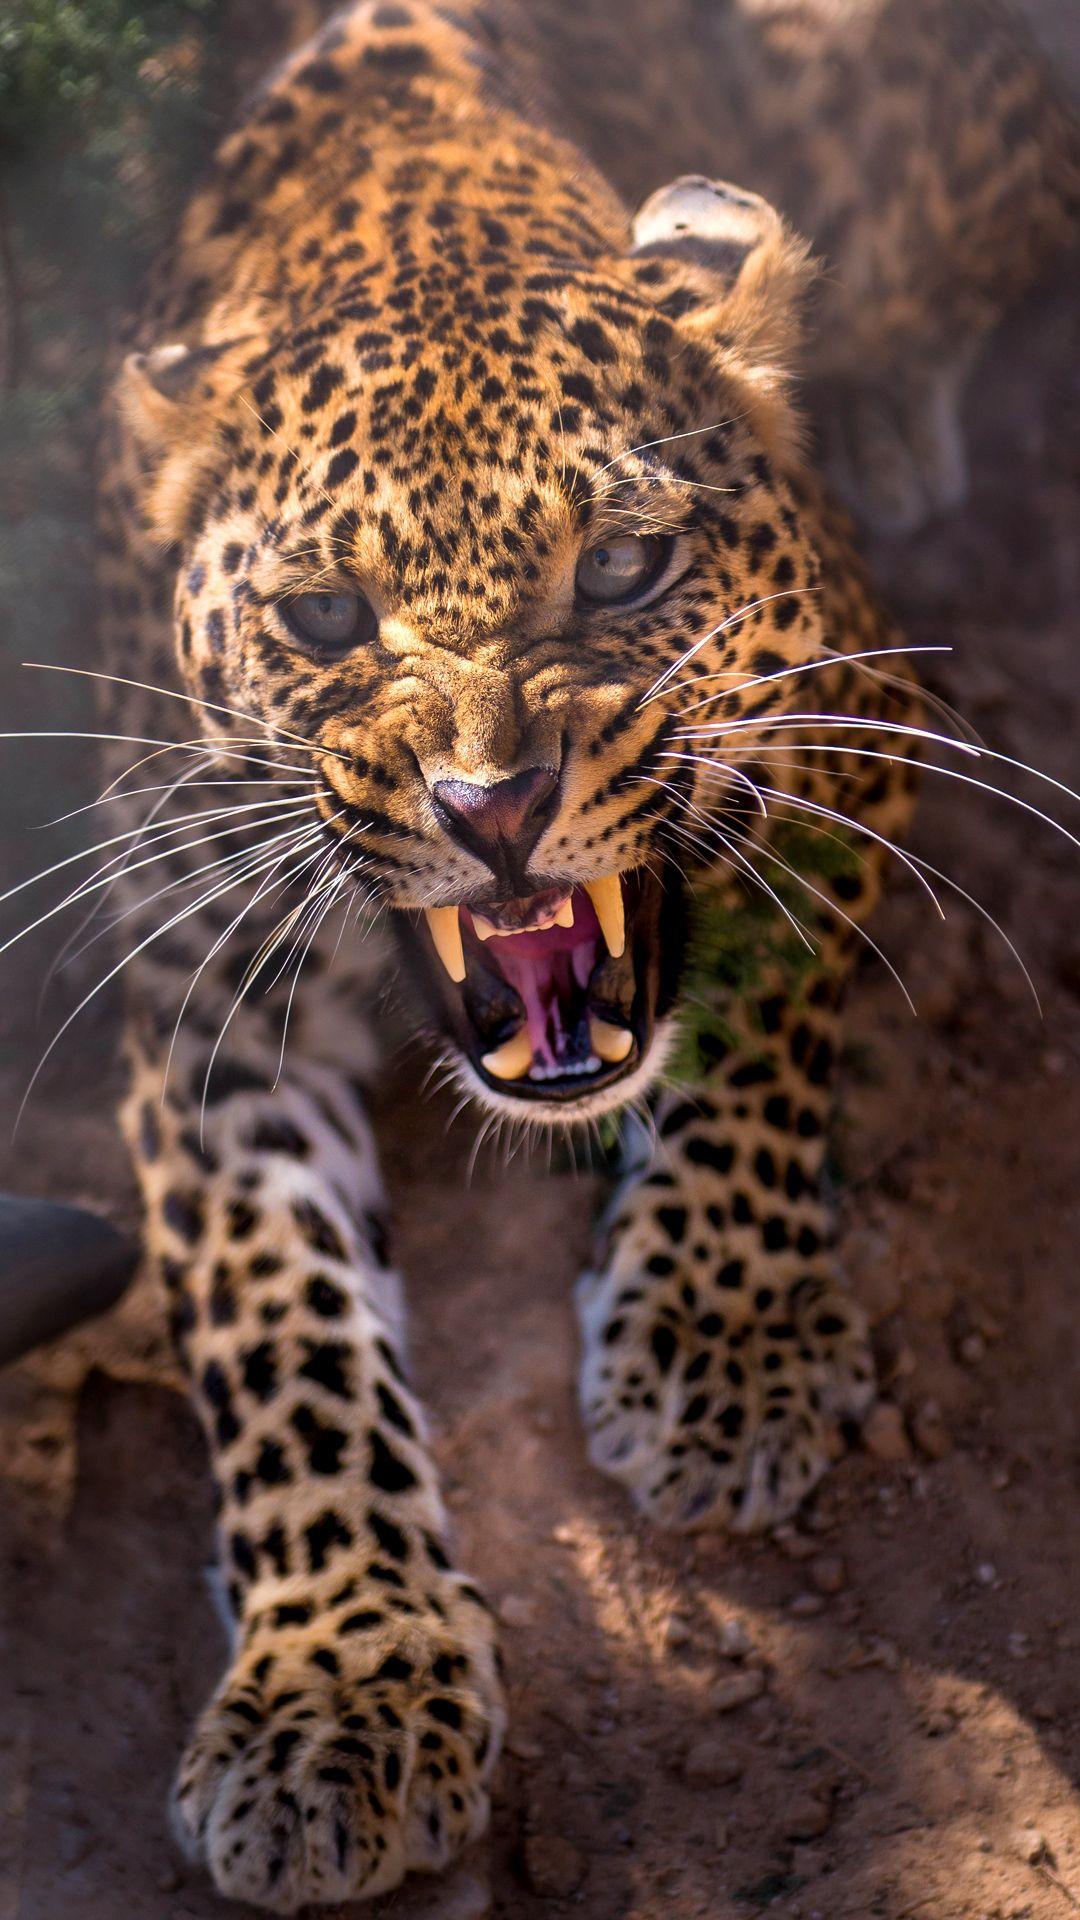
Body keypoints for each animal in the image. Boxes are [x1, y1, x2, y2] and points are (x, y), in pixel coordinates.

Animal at [88, 0, 1078, 1908]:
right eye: (323, 616)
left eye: (621, 569)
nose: (494, 806)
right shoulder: (199, 982)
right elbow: (276, 1318)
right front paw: (337, 1684)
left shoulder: (851, 732)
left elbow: (754, 1028)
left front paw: (722, 1340)